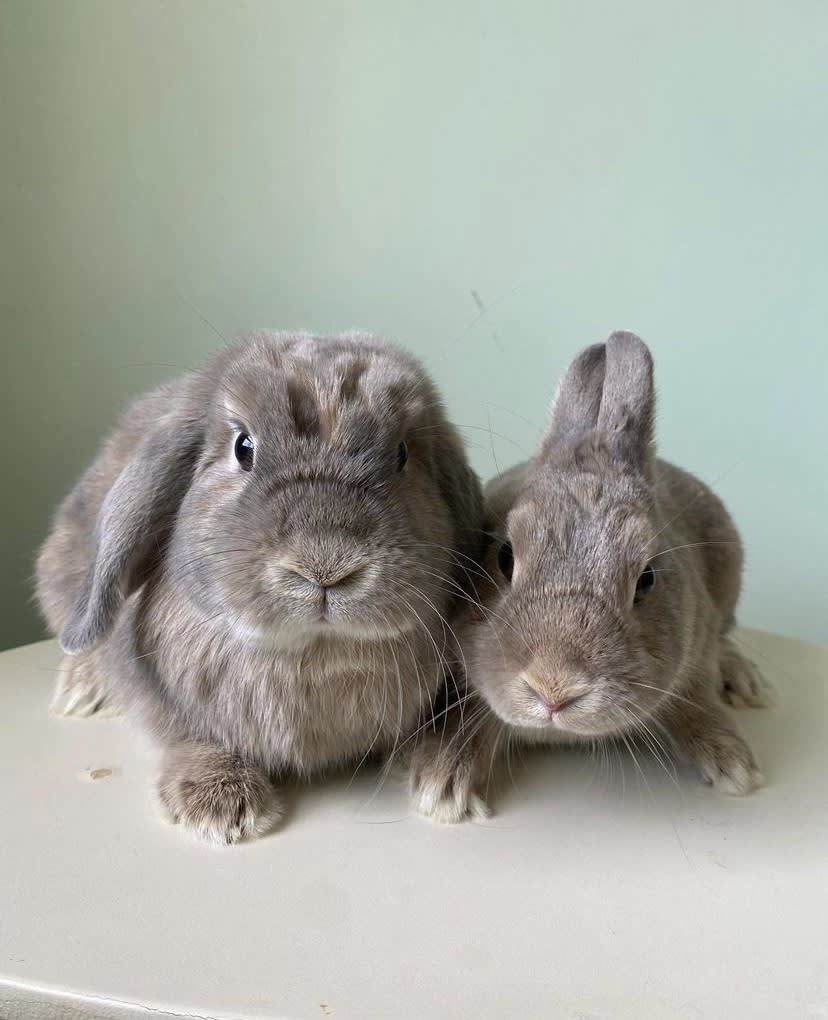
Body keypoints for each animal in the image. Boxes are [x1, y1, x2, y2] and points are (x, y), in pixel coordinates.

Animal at [36, 331, 485, 843]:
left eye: (402, 455)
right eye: (243, 447)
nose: (325, 565)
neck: (313, 655)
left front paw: (442, 780)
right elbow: (188, 733)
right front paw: (221, 807)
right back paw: (81, 691)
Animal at [410, 331, 773, 823]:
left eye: (647, 579)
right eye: (504, 557)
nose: (554, 688)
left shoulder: (693, 661)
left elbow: (695, 705)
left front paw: (734, 764)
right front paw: (441, 788)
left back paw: (745, 679)